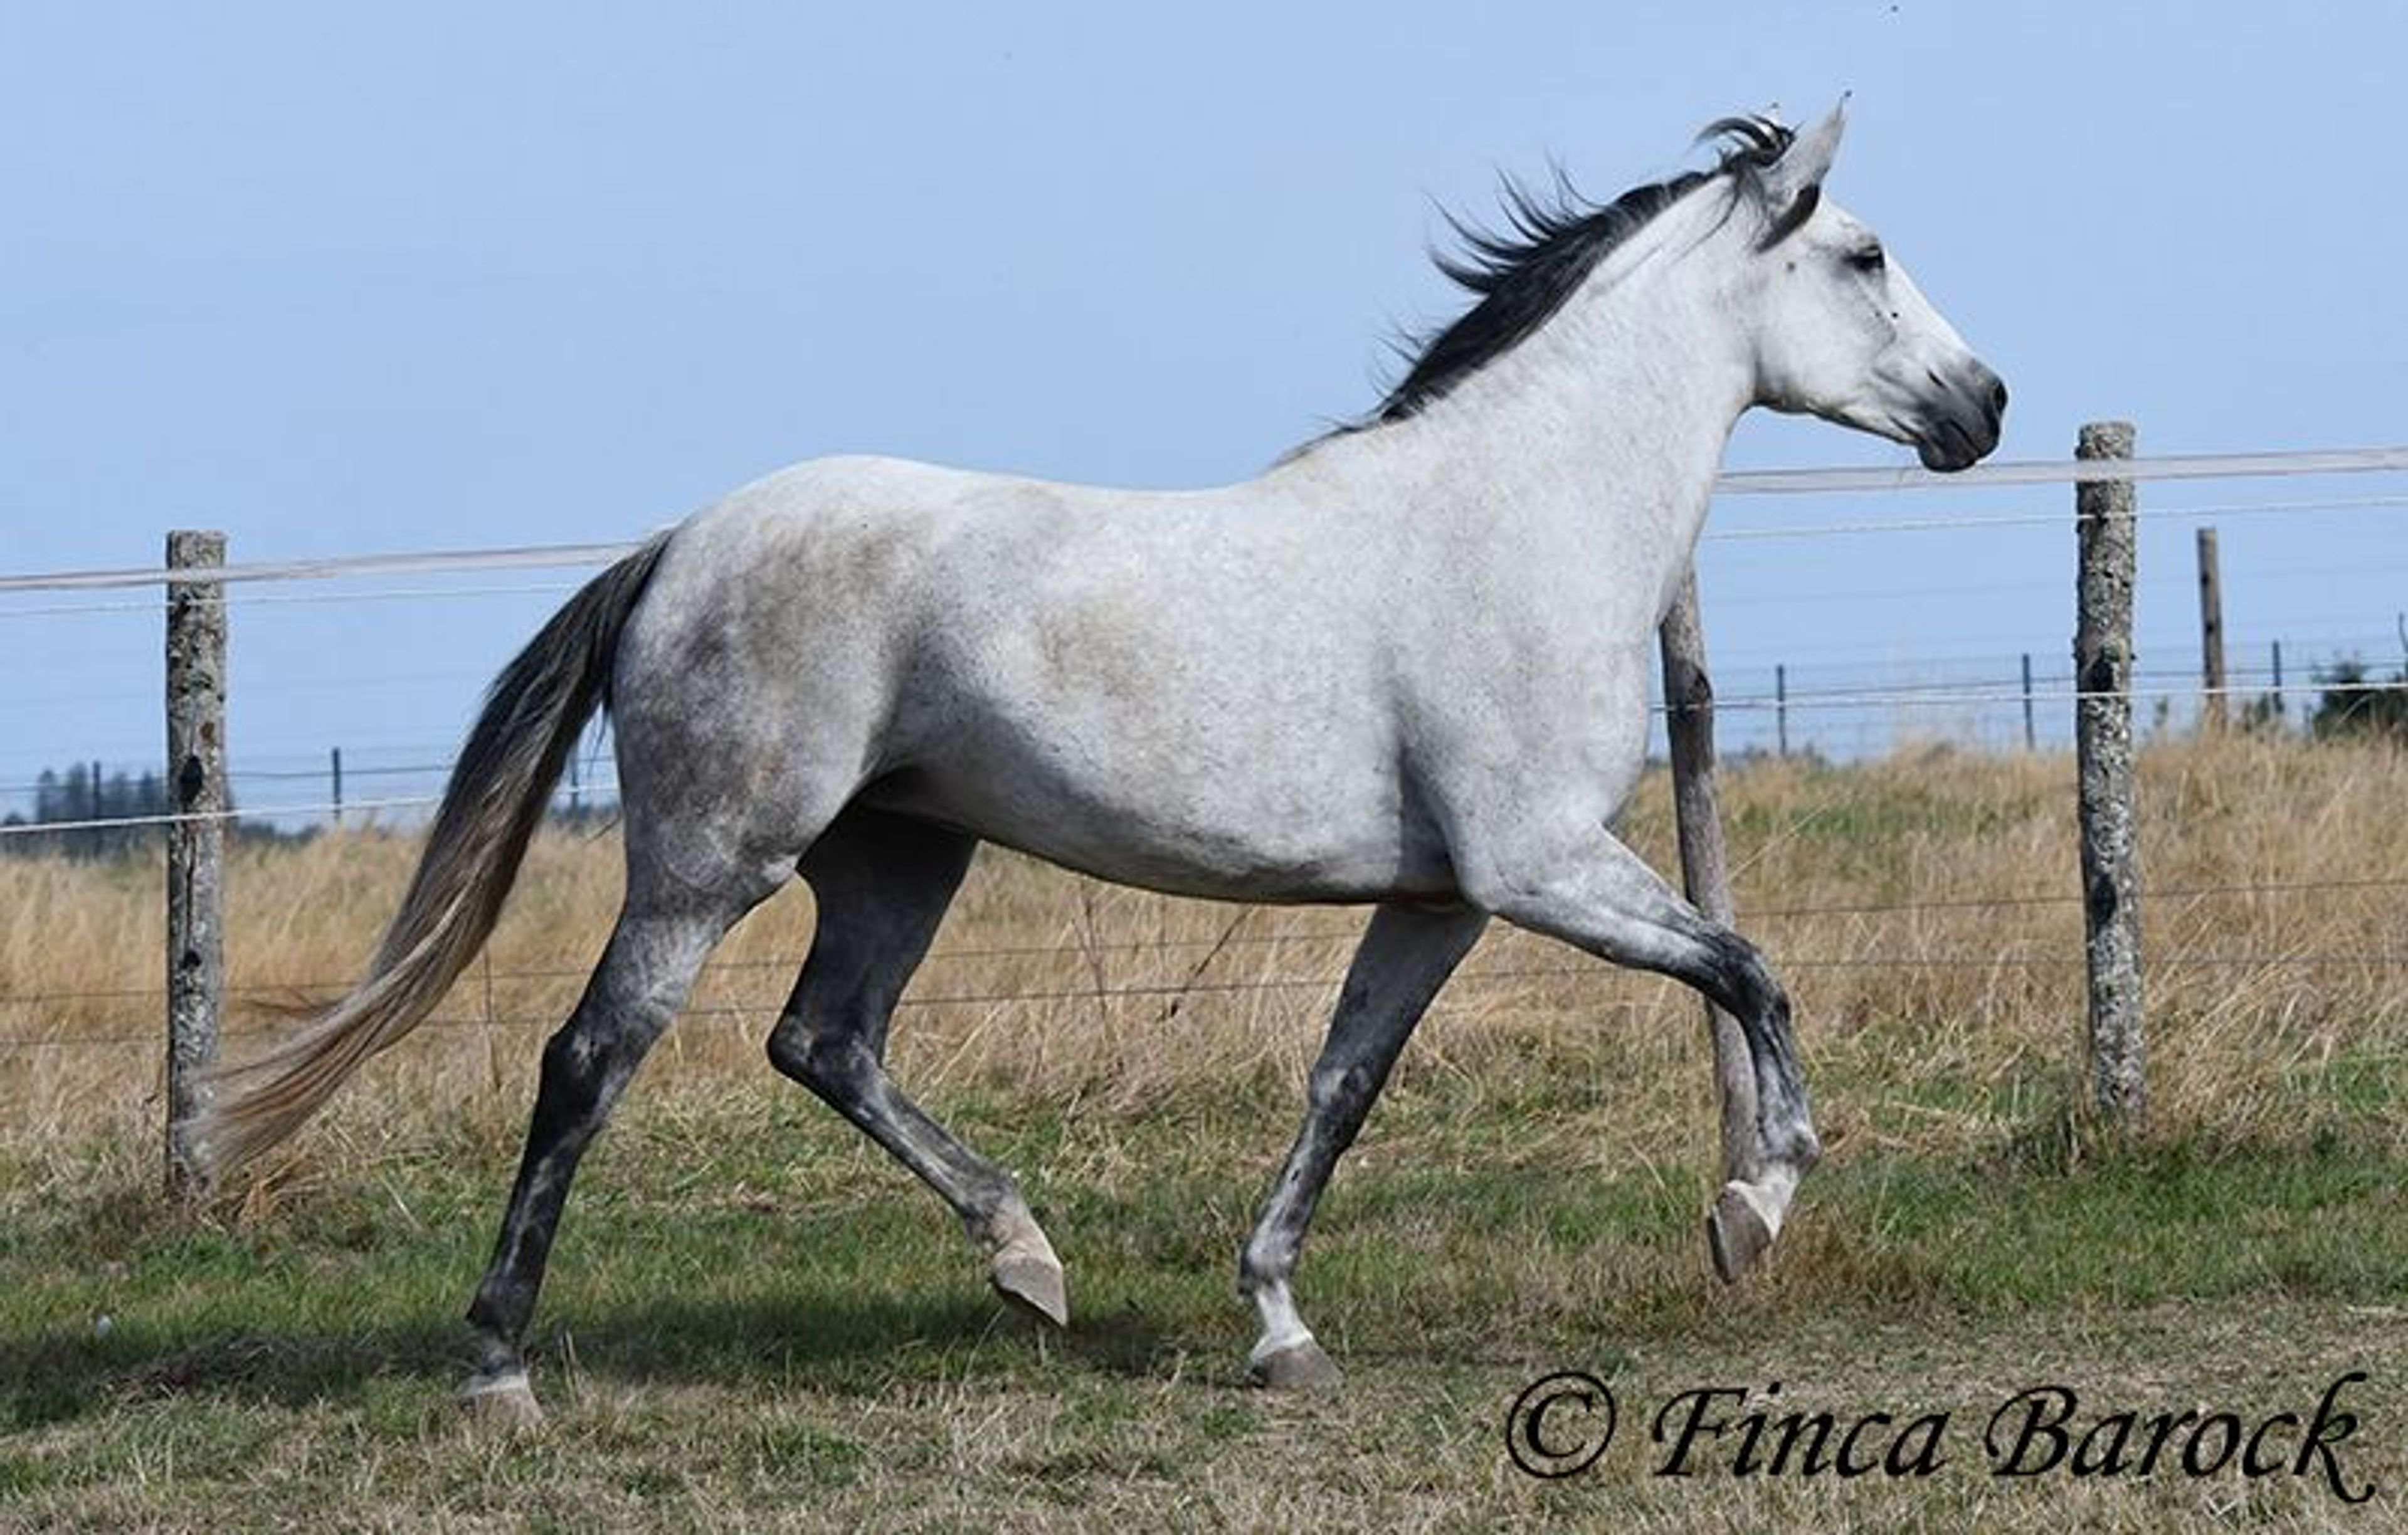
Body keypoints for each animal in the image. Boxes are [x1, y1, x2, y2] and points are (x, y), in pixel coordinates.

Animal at [189, 103, 2004, 1420]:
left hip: (901, 853)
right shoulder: (1539, 863)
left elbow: (1342, 1084)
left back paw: (1027, 1259)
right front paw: (1752, 1205)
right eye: (1864, 252)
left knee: (823, 1041)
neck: (1517, 514)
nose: (1982, 403)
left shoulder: (1442, 898)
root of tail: (676, 547)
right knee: (590, 1058)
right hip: (714, 860)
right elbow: (1752, 968)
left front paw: (1279, 1329)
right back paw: (499, 1370)